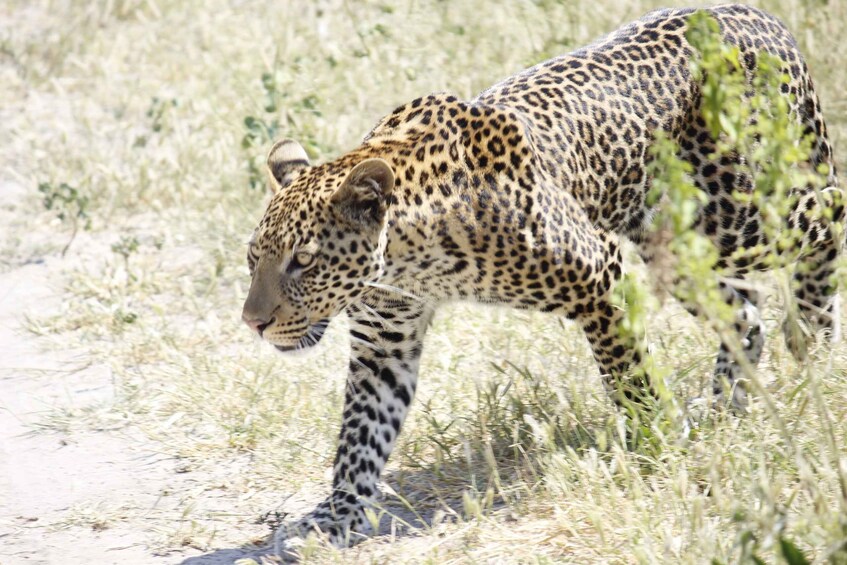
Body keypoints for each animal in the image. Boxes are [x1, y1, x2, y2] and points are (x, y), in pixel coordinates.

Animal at [238, 2, 840, 552]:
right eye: (253, 258)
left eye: (303, 260)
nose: (253, 324)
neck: (410, 257)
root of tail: (761, 17)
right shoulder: (384, 341)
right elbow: (360, 436)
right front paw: (336, 516)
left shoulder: (600, 276)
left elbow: (627, 378)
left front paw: (657, 442)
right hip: (676, 242)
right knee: (745, 315)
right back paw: (723, 402)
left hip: (737, 216)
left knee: (830, 210)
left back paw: (813, 334)